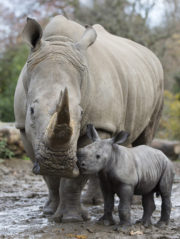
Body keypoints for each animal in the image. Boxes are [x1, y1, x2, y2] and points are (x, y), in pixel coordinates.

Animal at [13, 15, 163, 222]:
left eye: (82, 113)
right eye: (32, 110)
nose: (58, 162)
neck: (59, 41)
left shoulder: (101, 122)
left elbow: (76, 179)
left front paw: (71, 219)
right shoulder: (22, 126)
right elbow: (49, 177)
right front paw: (49, 211)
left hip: (158, 82)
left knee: (146, 136)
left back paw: (133, 202)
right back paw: (93, 202)